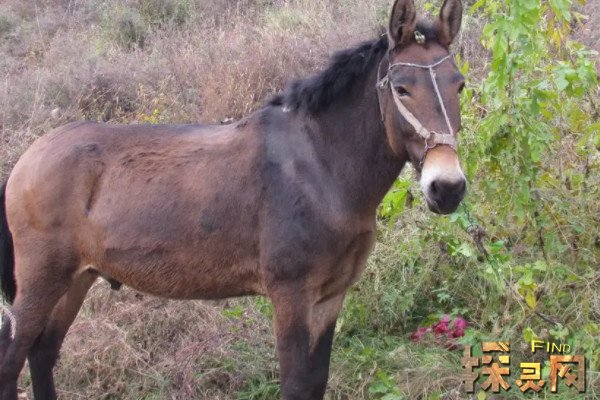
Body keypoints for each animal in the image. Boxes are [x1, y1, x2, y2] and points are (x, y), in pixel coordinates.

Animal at [0, 0, 466, 398]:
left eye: (459, 86)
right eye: (402, 89)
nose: (448, 188)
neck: (320, 166)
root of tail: (30, 156)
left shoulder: (329, 299)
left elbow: (315, 383)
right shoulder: (291, 297)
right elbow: (295, 386)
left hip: (76, 278)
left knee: (42, 354)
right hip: (42, 278)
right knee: (13, 359)